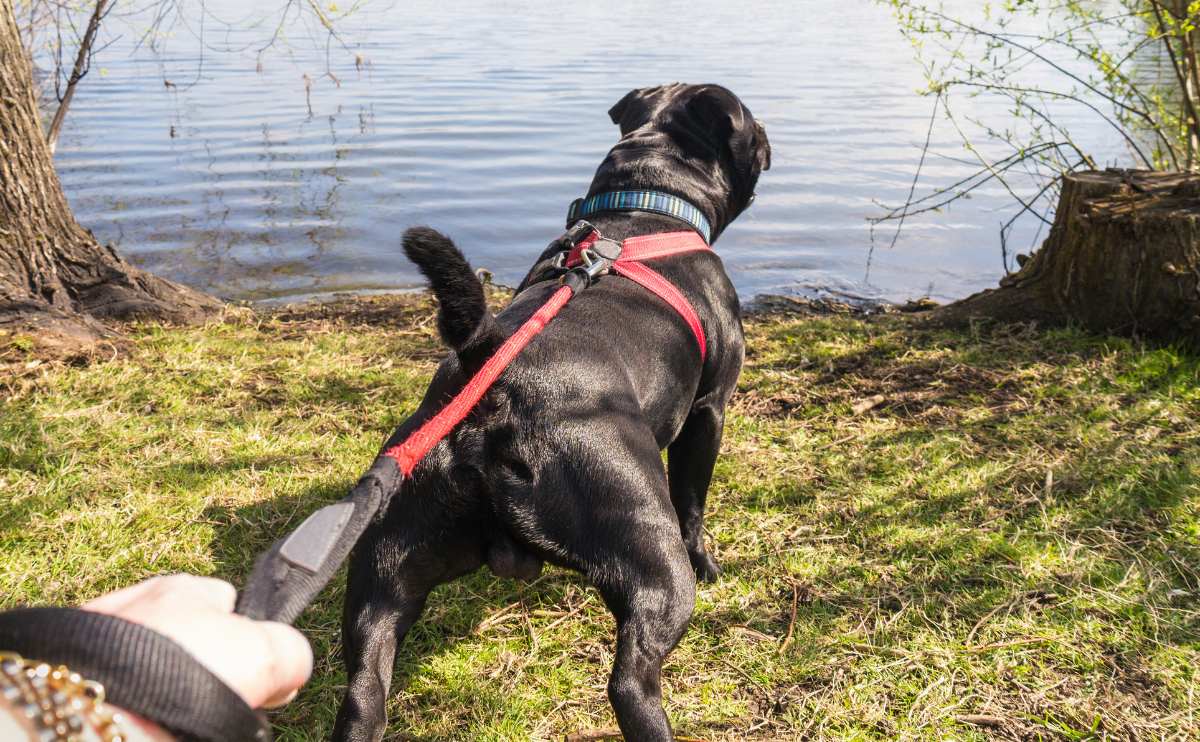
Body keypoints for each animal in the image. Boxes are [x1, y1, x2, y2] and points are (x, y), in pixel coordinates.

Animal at [333, 84, 772, 734]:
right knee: (631, 679)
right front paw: (711, 563)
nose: (770, 140)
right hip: (650, 551)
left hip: (381, 573)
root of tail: (492, 373)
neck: (648, 204)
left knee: (365, 689)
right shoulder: (709, 411)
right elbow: (693, 499)